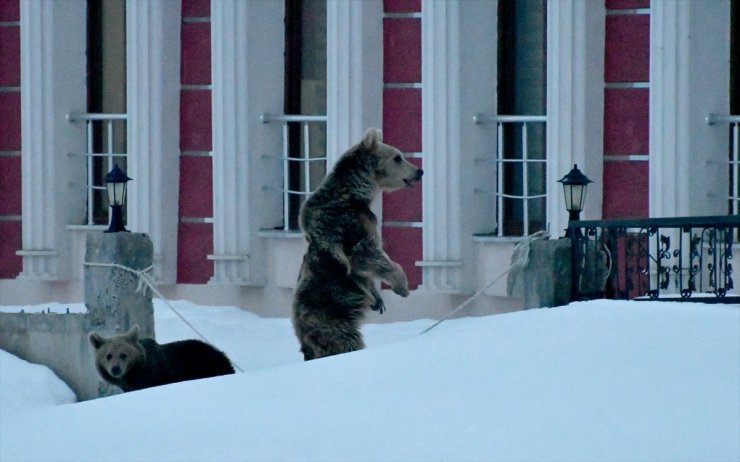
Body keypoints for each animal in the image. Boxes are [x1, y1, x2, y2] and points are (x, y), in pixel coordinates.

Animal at [294, 127, 422, 360]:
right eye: (398, 157)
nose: (419, 171)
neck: (356, 193)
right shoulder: (350, 225)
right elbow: (368, 254)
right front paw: (402, 286)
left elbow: (365, 272)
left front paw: (378, 299)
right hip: (331, 317)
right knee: (344, 341)